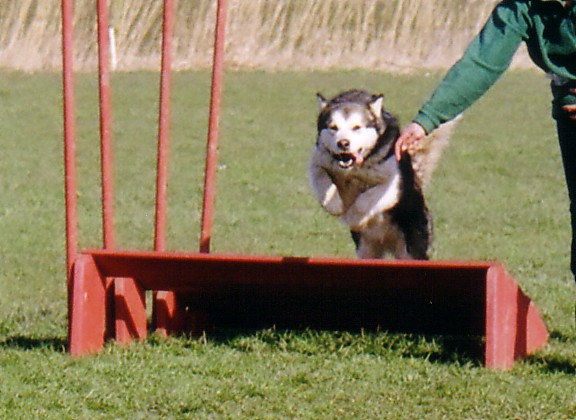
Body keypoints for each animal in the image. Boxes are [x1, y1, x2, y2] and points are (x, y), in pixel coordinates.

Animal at [308, 89, 456, 260]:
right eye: (333, 127)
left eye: (357, 127)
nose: (343, 143)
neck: (356, 168)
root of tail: (387, 242)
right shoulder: (317, 162)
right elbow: (323, 184)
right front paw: (336, 204)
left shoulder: (394, 183)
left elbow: (366, 199)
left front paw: (355, 216)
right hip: (366, 250)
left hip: (411, 248)